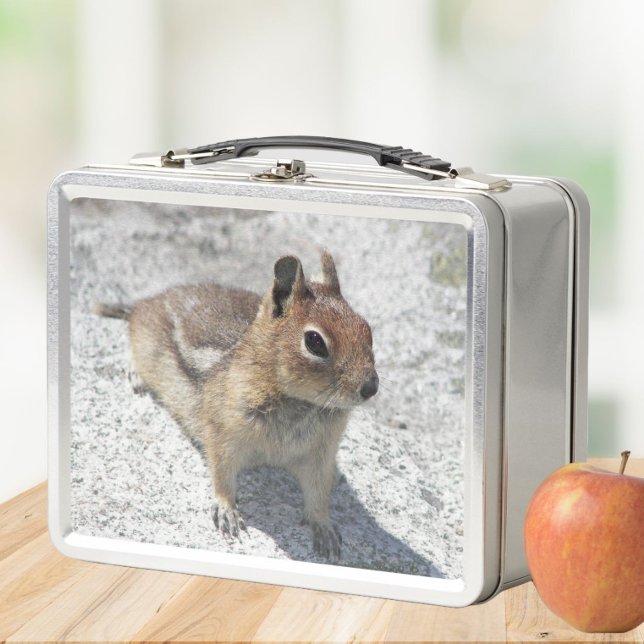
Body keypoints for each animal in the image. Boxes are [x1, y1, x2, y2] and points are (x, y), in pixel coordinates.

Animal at [96, 250, 378, 561]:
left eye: (367, 329)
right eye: (315, 342)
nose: (371, 387)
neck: (301, 403)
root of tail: (149, 300)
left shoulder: (320, 455)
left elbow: (318, 493)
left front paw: (324, 527)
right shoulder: (223, 432)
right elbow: (222, 473)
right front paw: (226, 510)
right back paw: (135, 375)